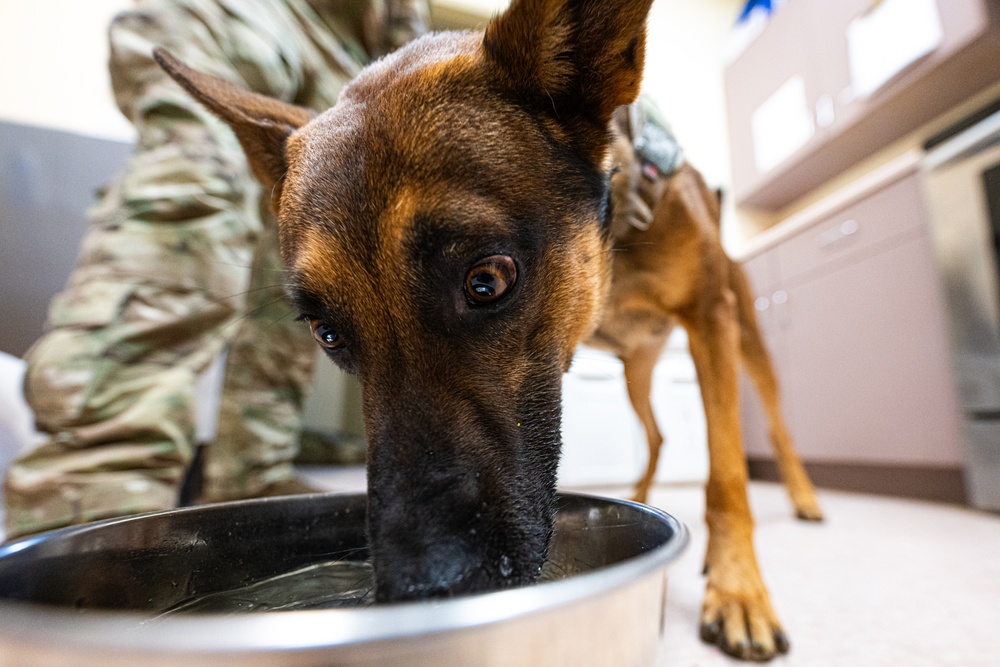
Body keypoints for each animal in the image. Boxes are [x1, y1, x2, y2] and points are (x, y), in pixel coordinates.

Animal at [154, 0, 820, 660]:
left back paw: (804, 498)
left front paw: (739, 591)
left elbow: (728, 475)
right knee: (655, 434)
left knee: (775, 426)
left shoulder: (710, 320)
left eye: (487, 281)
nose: (419, 590)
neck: (616, 243)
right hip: (634, 374)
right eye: (326, 333)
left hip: (746, 345)